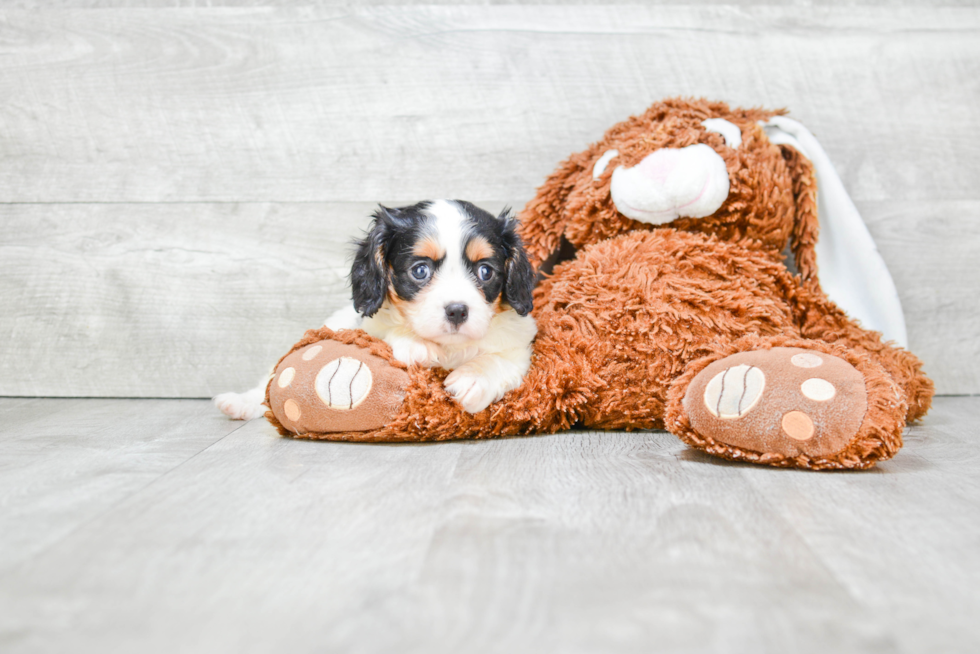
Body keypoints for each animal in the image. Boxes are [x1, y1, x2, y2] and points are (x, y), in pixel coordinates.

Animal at [213, 200, 536, 420]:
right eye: (420, 270)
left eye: (485, 271)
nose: (457, 311)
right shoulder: (369, 327)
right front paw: (415, 343)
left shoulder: (520, 344)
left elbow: (500, 359)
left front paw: (474, 378)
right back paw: (240, 403)